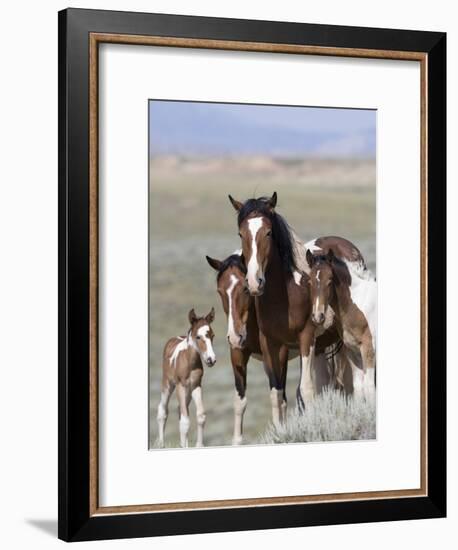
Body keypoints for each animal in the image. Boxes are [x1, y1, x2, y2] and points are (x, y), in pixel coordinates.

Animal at [157, 308, 216, 450]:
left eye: (212, 335)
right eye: (198, 336)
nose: (211, 360)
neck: (189, 362)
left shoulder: (196, 385)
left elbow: (200, 416)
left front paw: (199, 445)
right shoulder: (181, 386)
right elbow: (185, 421)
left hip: (188, 391)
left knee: (180, 410)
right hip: (168, 384)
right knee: (162, 410)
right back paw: (161, 445)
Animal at [229, 192, 368, 420]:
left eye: (268, 232)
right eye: (241, 234)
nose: (255, 282)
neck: (284, 295)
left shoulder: (306, 338)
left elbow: (306, 390)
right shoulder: (271, 344)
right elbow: (277, 395)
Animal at [306, 248, 378, 398]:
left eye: (330, 280)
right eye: (309, 281)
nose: (318, 316)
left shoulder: (368, 349)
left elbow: (369, 388)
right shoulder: (352, 350)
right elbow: (358, 387)